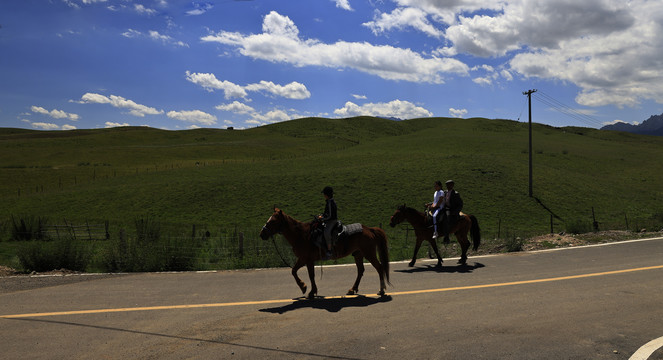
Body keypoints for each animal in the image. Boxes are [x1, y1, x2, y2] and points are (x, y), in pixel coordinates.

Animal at [260, 207, 392, 300]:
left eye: (273, 221)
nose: (262, 234)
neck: (302, 235)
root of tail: (369, 229)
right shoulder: (302, 259)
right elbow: (293, 271)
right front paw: (303, 287)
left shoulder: (308, 260)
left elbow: (311, 275)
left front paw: (311, 292)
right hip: (358, 254)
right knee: (360, 270)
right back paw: (352, 289)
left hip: (369, 254)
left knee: (379, 268)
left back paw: (381, 290)